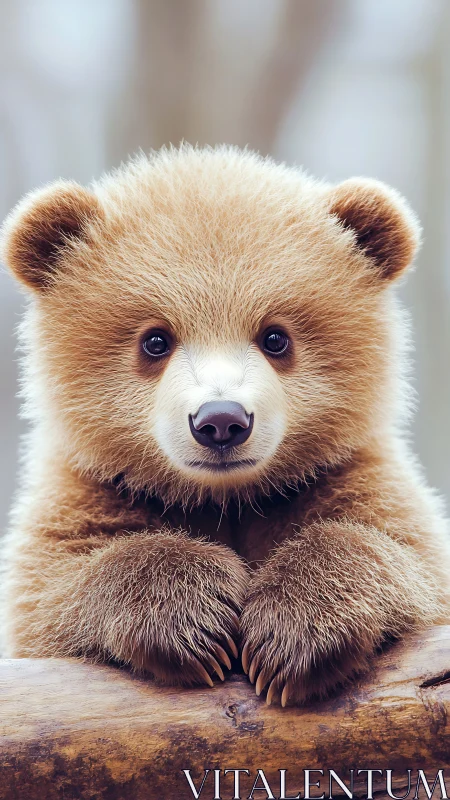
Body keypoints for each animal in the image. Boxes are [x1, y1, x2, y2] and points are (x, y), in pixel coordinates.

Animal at [1, 144, 449, 707]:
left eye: (276, 337)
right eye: (155, 340)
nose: (220, 421)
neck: (226, 497)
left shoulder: (342, 479)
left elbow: (404, 560)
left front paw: (294, 632)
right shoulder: (92, 493)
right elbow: (54, 590)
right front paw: (195, 615)